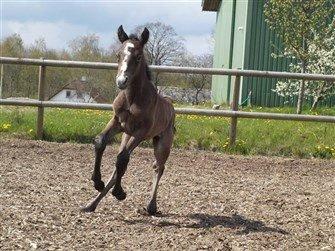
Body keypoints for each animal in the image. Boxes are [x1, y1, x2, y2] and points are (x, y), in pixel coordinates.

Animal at [81, 24, 176, 215]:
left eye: (138, 56)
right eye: (118, 55)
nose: (121, 81)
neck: (132, 99)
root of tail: (171, 106)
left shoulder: (141, 131)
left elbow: (123, 158)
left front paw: (119, 193)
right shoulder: (117, 123)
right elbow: (100, 142)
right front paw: (97, 182)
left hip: (162, 142)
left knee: (158, 167)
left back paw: (151, 206)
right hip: (126, 135)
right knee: (118, 168)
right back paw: (91, 204)